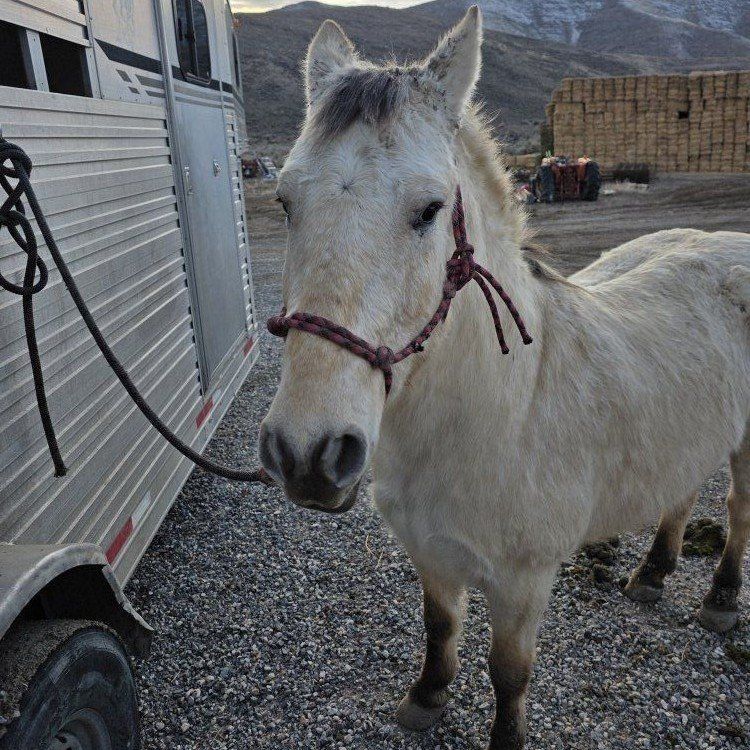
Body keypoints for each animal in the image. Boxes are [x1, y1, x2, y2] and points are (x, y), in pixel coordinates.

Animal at [258, 7, 750, 748]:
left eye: (430, 209)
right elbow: (439, 628)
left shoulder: (523, 582)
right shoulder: (431, 555)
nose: (307, 453)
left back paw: (719, 599)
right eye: (286, 202)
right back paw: (652, 574)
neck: (502, 413)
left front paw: (504, 733)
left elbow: (509, 671)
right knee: (682, 490)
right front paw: (426, 697)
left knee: (738, 510)